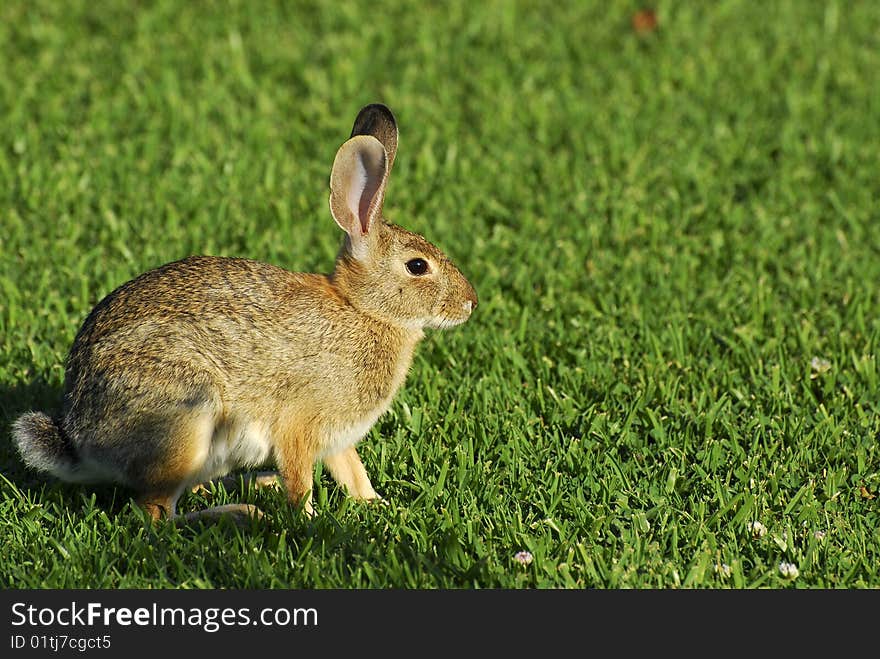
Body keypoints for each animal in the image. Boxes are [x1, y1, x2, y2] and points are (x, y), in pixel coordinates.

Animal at [12, 103, 474, 524]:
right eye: (418, 266)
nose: (470, 303)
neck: (363, 310)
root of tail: (81, 440)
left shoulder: (337, 438)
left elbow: (352, 472)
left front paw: (378, 504)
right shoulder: (299, 426)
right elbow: (301, 481)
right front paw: (310, 522)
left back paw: (256, 484)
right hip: (187, 414)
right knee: (156, 513)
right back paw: (241, 512)